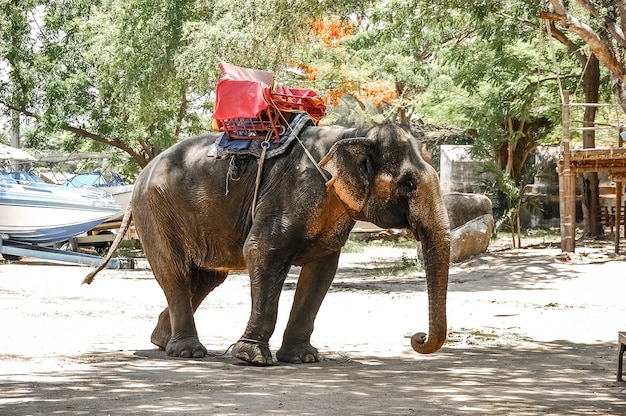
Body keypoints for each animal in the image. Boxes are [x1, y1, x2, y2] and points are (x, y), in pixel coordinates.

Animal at [88, 122, 448, 364]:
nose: (416, 337)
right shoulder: (289, 193)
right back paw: (188, 352)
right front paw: (251, 358)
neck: (354, 132)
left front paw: (303, 358)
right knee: (176, 273)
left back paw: (162, 341)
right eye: (409, 184)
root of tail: (140, 175)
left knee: (206, 279)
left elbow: (322, 271)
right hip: (156, 211)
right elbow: (261, 250)